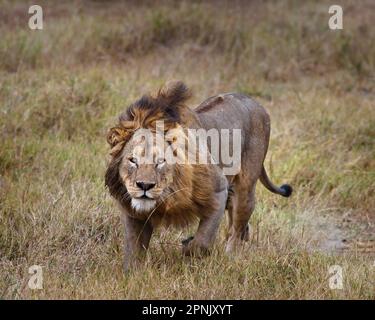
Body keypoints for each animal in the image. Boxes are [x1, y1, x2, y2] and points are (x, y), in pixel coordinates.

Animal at [106, 80, 294, 270]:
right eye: (132, 160)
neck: (169, 193)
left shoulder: (219, 192)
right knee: (241, 228)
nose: (144, 186)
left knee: (237, 230)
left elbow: (201, 243)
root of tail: (257, 103)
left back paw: (231, 258)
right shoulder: (131, 211)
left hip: (245, 189)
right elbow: (133, 249)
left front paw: (187, 246)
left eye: (160, 161)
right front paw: (132, 273)